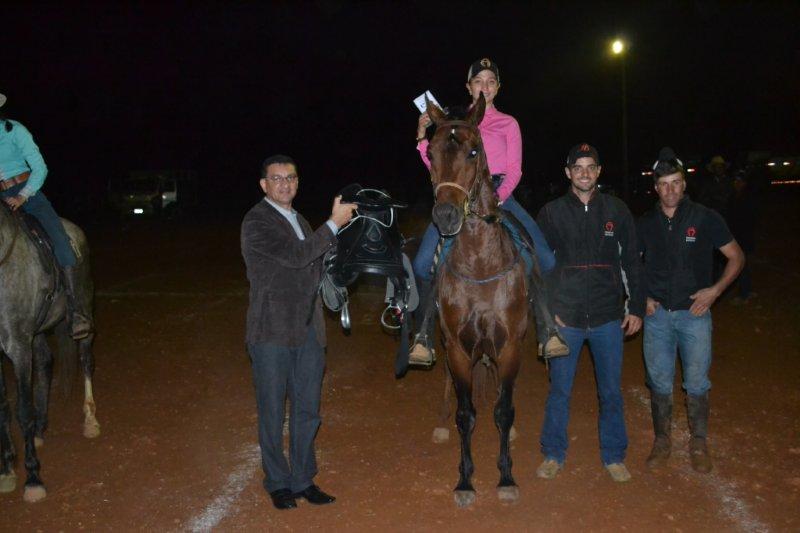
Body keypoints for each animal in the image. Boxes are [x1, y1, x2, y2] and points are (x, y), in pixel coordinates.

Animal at [0, 204, 99, 502]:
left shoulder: (19, 346)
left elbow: (23, 410)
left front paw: (33, 478)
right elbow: (3, 408)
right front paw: (7, 470)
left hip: (84, 315)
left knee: (86, 361)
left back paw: (91, 420)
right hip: (40, 330)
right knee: (45, 362)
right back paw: (41, 429)